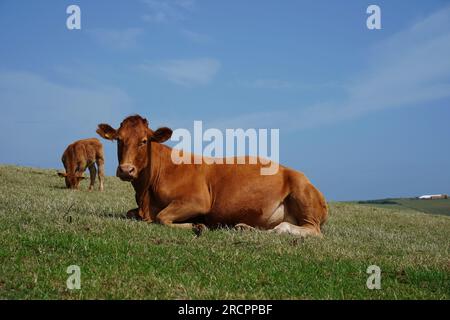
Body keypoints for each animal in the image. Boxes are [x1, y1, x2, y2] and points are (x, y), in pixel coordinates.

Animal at [96, 115, 326, 238]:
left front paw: (198, 225)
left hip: (302, 193)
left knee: (301, 229)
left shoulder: (197, 201)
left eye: (144, 141)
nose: (126, 170)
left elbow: (161, 217)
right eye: (119, 139)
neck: (146, 195)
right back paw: (243, 228)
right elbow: (130, 213)